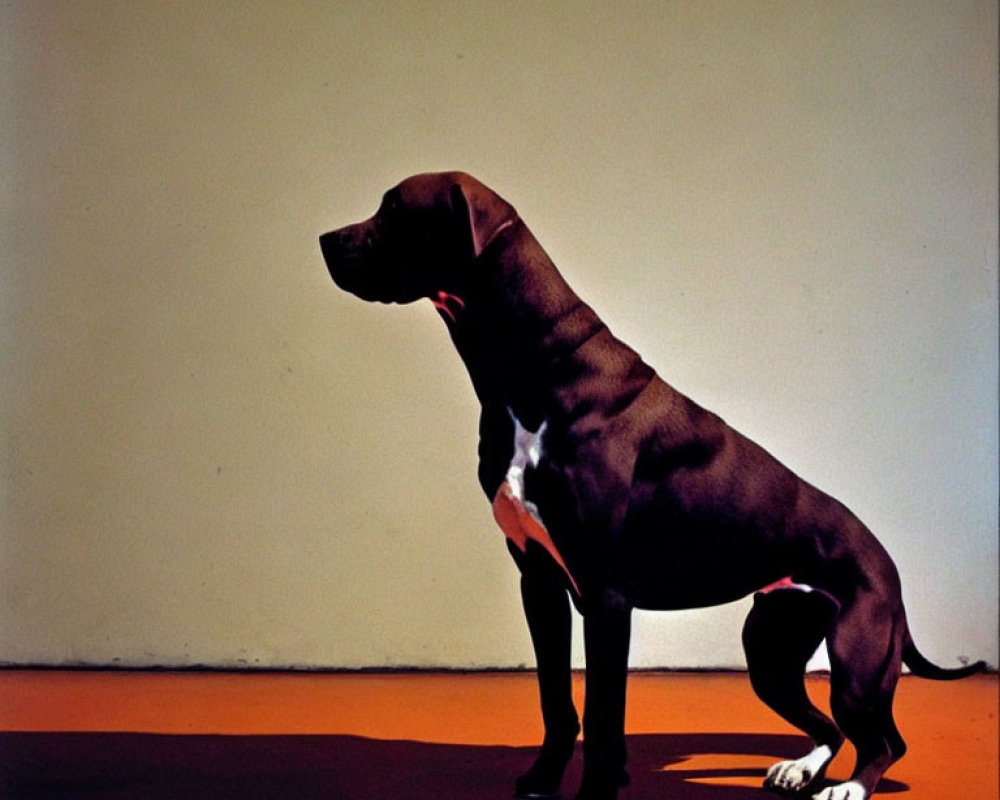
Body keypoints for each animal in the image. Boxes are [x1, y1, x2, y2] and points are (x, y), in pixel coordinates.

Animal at [320, 170, 984, 800]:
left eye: (396, 210)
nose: (325, 239)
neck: (534, 371)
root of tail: (886, 561)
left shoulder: (606, 596)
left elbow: (602, 714)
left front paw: (595, 790)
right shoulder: (540, 582)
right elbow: (557, 702)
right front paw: (544, 778)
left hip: (856, 658)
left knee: (883, 739)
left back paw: (848, 786)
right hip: (770, 651)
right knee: (830, 726)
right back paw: (801, 769)